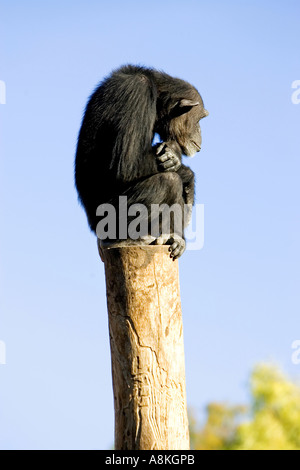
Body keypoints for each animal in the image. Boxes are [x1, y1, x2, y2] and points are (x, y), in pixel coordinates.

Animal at [74, 64, 209, 258]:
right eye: (200, 119)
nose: (201, 132)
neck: (157, 96)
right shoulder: (137, 92)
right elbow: (129, 163)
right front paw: (181, 166)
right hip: (111, 220)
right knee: (168, 181)